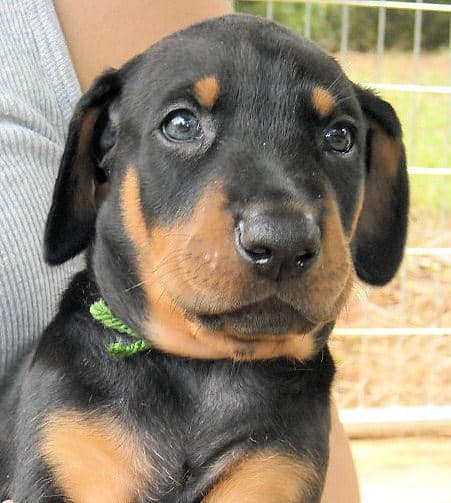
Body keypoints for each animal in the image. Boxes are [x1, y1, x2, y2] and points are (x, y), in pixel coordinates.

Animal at [0, 12, 410, 503]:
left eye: (340, 136)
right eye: (181, 124)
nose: (282, 244)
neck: (201, 370)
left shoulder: (274, 473)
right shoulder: (64, 451)